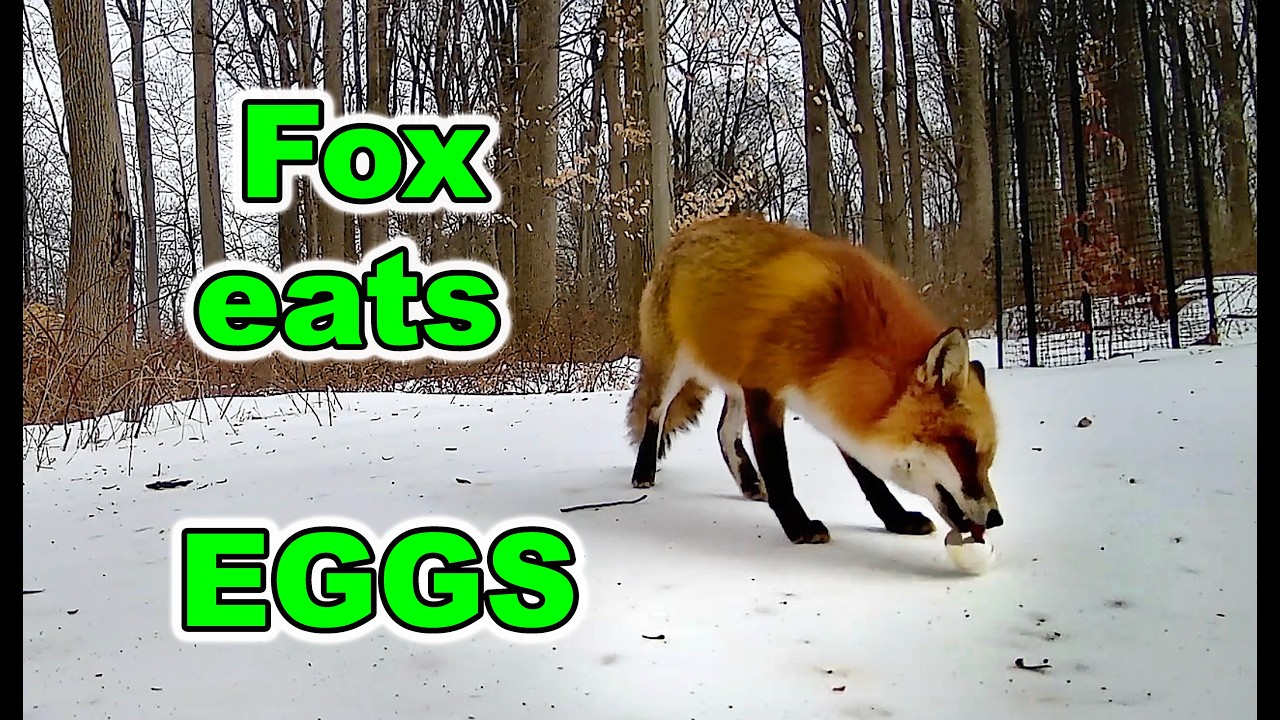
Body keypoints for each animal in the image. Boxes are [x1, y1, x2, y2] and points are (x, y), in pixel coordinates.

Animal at [625, 214, 1003, 545]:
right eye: (965, 448)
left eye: (987, 459)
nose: (997, 518)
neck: (841, 338)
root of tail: (683, 234)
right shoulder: (766, 388)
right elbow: (779, 470)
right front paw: (799, 527)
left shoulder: (837, 402)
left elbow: (869, 480)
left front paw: (897, 520)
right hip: (675, 370)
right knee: (656, 414)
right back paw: (644, 473)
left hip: (735, 384)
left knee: (724, 432)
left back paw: (749, 484)